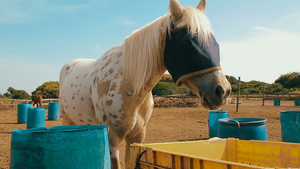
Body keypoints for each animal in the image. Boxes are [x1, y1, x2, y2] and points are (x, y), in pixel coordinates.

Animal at [59, 0, 232, 168]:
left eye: (216, 44)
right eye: (188, 44)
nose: (223, 90)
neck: (128, 86)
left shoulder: (137, 136)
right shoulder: (112, 138)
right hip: (67, 120)